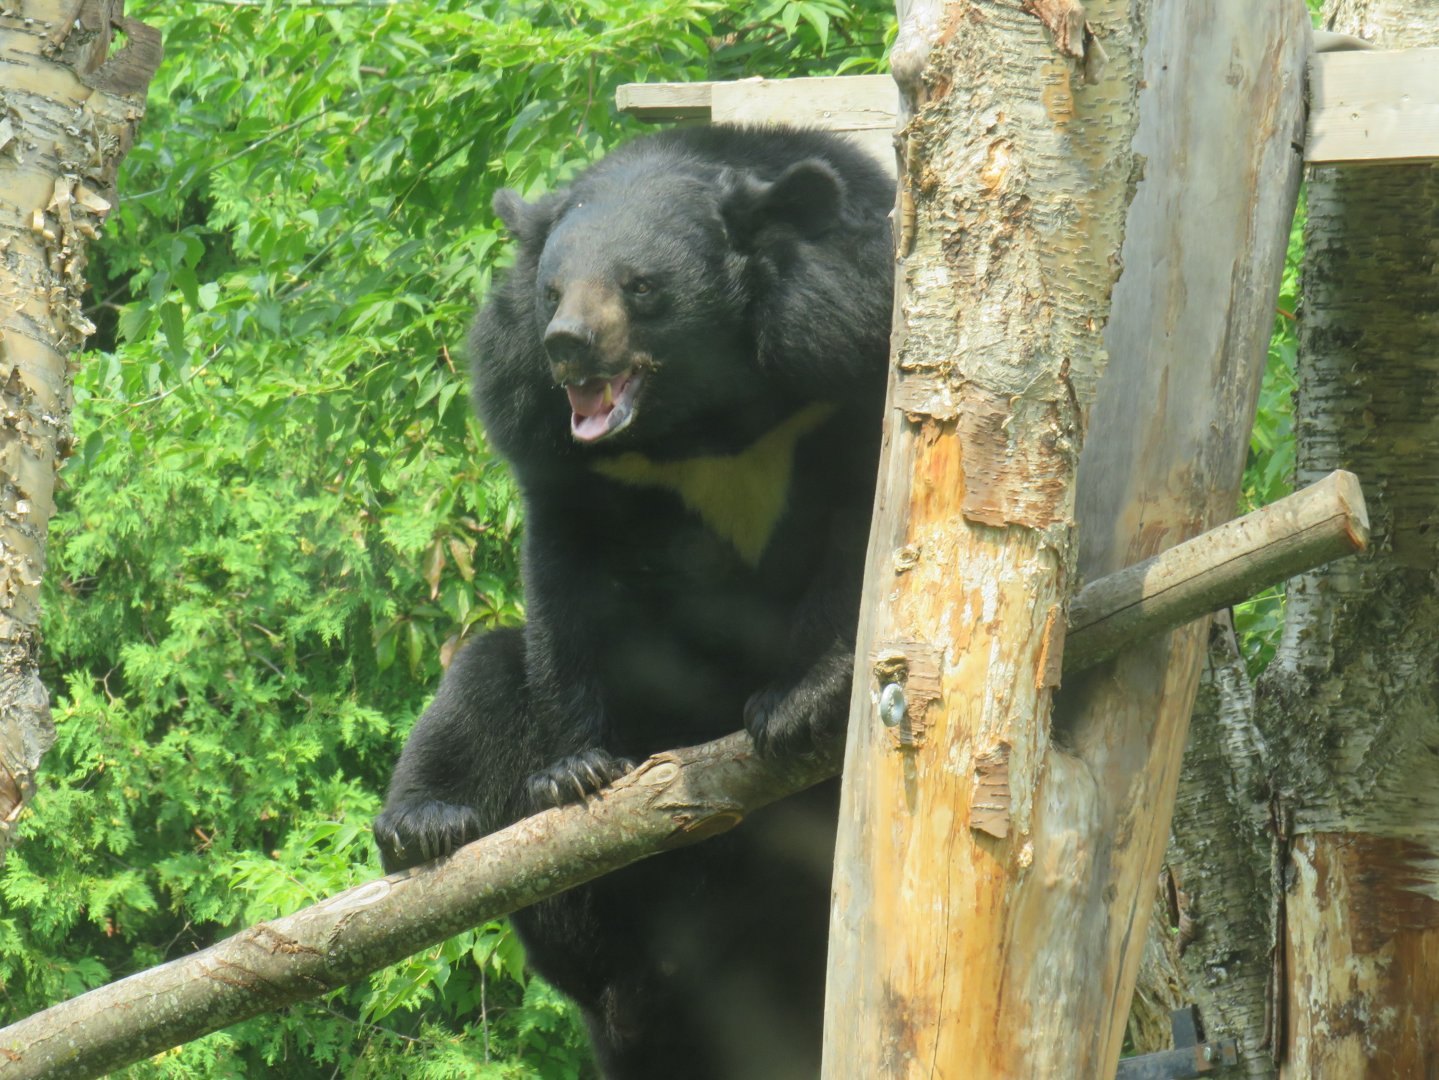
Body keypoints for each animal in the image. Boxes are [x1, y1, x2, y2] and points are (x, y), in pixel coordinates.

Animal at [374, 124, 895, 1079]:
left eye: (640, 286)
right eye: (549, 290)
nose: (567, 345)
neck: (700, 421)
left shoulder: (844, 357)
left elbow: (855, 537)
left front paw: (795, 704)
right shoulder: (553, 441)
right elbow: (567, 585)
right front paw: (577, 770)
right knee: (482, 678)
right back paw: (424, 825)